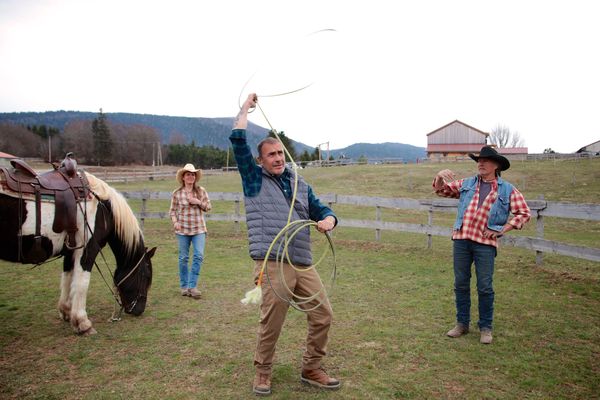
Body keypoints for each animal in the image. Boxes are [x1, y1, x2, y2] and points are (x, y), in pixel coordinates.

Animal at [0, 162, 155, 334]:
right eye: (146, 276)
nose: (139, 309)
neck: (102, 206)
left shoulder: (70, 250)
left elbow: (67, 278)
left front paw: (66, 312)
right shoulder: (87, 250)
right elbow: (82, 282)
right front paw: (82, 322)